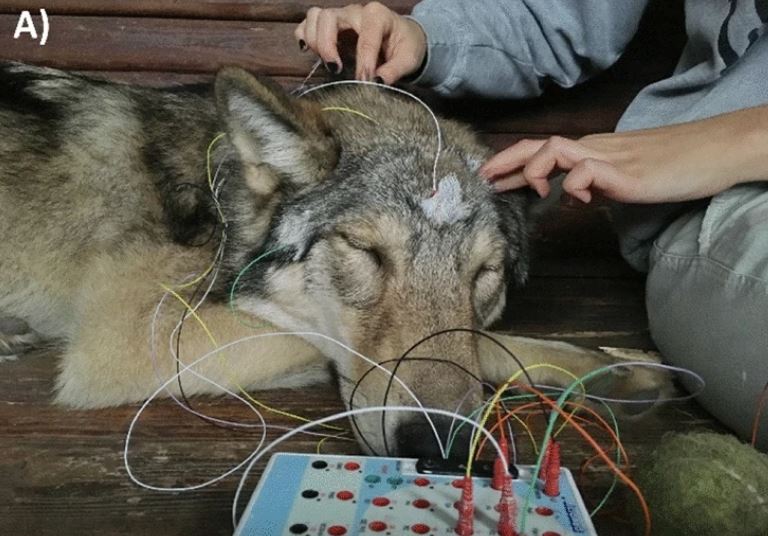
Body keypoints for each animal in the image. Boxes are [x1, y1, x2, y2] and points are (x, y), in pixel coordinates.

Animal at [0, 62, 668, 458]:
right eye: (366, 251)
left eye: (483, 274)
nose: (438, 444)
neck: (218, 202)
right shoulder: (124, 335)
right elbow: (323, 339)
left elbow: (480, 339)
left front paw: (605, 368)